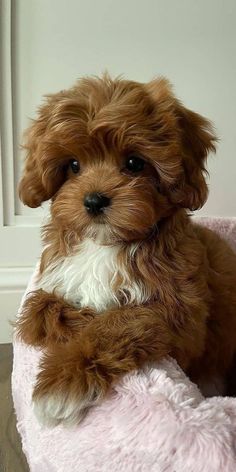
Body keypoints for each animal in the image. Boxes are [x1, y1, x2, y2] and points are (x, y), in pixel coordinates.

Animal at [16, 75, 236, 426]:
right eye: (73, 166)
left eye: (134, 163)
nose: (94, 201)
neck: (105, 245)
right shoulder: (55, 278)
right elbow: (38, 310)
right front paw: (83, 319)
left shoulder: (184, 318)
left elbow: (122, 320)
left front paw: (62, 381)